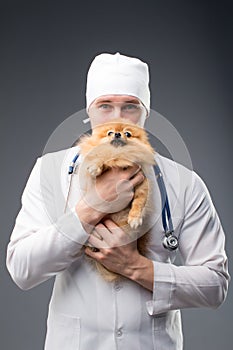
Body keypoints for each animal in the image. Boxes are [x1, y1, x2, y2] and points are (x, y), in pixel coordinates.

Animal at [77, 118, 157, 282]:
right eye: (110, 133)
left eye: (128, 133)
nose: (118, 134)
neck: (119, 155)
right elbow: (101, 157)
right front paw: (96, 166)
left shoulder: (142, 184)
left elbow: (139, 202)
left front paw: (135, 218)